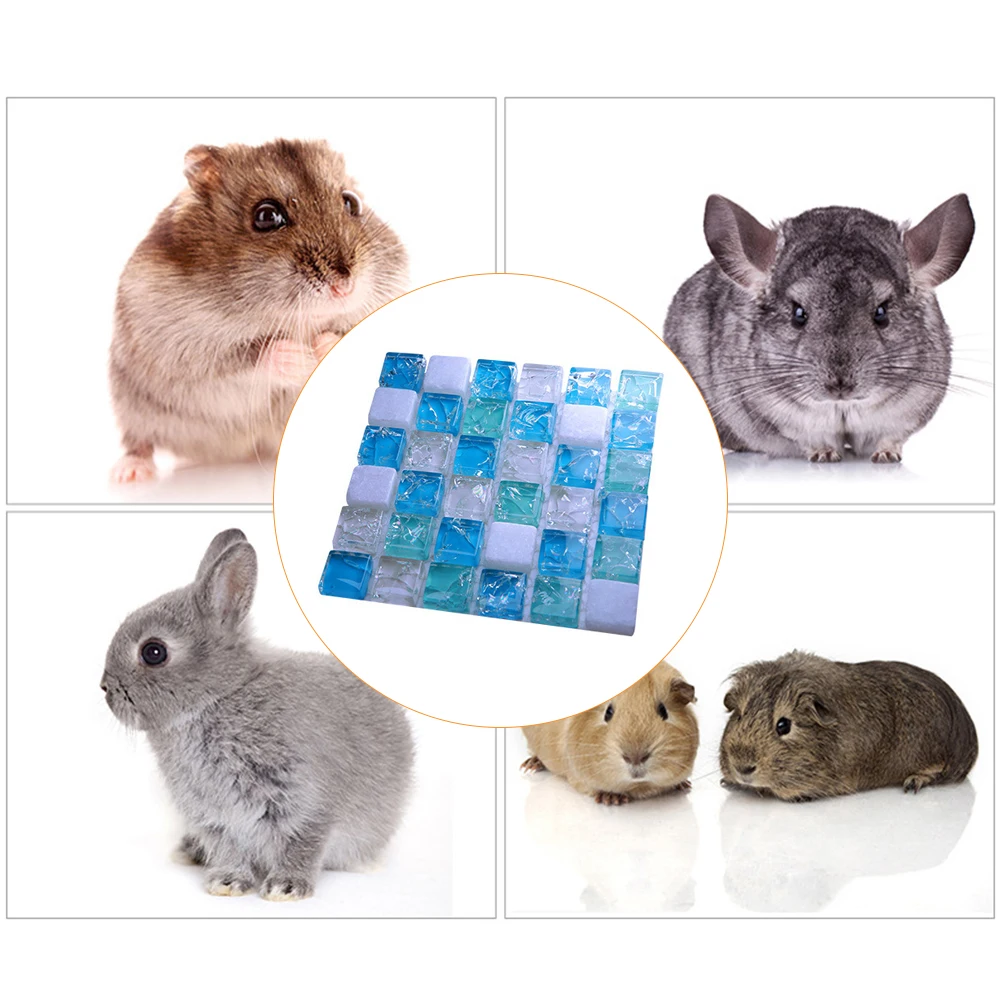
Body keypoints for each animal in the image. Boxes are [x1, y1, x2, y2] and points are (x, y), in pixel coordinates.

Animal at [101, 528, 414, 900]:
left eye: (153, 652)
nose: (105, 689)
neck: (219, 696)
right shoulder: (215, 818)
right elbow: (228, 850)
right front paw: (227, 883)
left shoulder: (307, 803)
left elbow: (303, 844)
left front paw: (286, 888)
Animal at [109, 139, 408, 482]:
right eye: (266, 216)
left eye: (351, 202)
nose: (344, 287)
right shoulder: (184, 351)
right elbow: (253, 355)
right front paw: (301, 358)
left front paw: (322, 346)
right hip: (132, 405)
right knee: (137, 441)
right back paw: (129, 474)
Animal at [521, 661, 698, 805]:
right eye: (608, 712)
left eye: (663, 711)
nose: (635, 757)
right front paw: (612, 799)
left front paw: (683, 784)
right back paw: (529, 766)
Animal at [664, 194, 974, 463]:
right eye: (798, 314)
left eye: (882, 313)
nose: (840, 385)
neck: (842, 407)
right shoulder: (777, 414)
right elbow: (809, 439)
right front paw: (824, 455)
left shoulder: (908, 413)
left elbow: (891, 437)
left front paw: (887, 456)